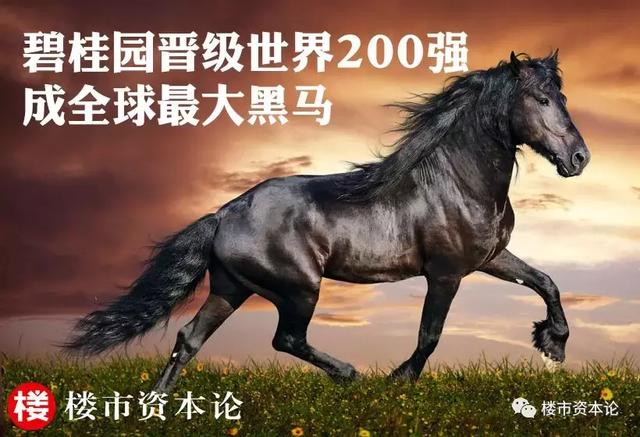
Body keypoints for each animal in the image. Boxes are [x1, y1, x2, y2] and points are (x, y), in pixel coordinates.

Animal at [65, 51, 590, 392]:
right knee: (286, 339)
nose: (579, 158)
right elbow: (430, 334)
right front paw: (398, 381)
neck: (457, 181)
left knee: (189, 338)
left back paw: (159, 404)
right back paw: (350, 375)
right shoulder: (446, 272)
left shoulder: (490, 257)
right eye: (541, 100)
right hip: (299, 288)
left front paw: (553, 345)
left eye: (562, 98)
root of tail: (224, 213)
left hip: (231, 287)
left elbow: (546, 282)